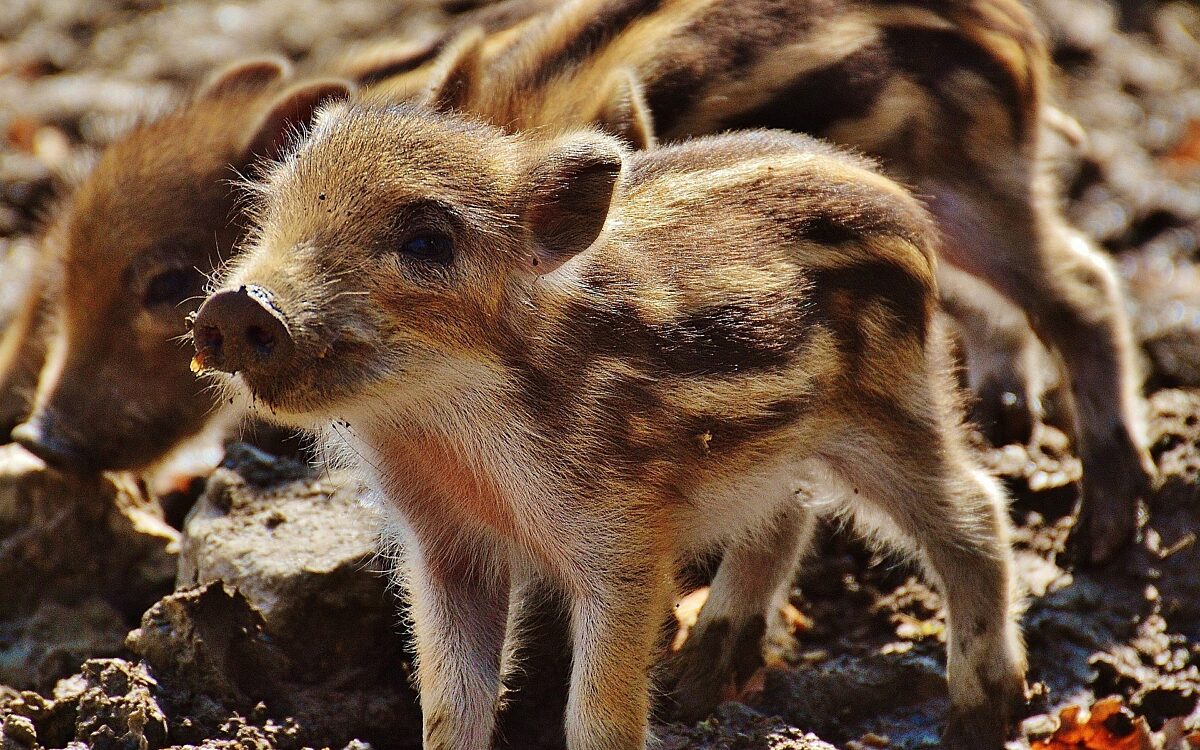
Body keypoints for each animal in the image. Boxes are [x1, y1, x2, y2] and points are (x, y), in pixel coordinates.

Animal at [191, 102, 1026, 750]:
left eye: (428, 240)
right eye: (271, 213)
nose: (237, 304)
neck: (444, 428)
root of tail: (906, 206)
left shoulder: (622, 540)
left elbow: (600, 715)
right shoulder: (447, 548)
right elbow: (450, 705)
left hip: (890, 410)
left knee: (974, 513)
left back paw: (983, 714)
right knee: (786, 515)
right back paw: (698, 681)